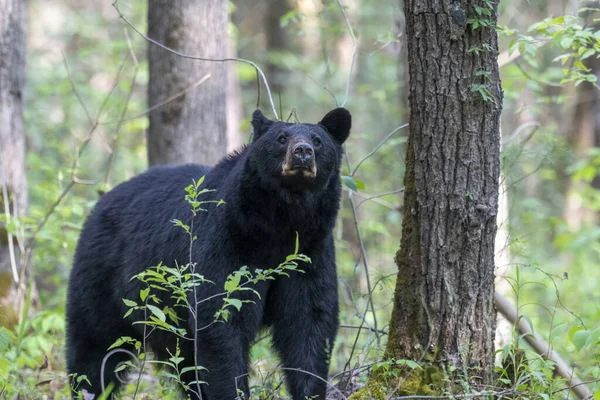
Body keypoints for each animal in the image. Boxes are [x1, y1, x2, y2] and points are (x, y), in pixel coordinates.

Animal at [67, 108, 352, 398]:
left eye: (318, 140)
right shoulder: (228, 242)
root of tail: (101, 201)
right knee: (95, 346)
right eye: (281, 138)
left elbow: (309, 322)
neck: (280, 224)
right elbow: (221, 318)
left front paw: (311, 390)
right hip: (103, 278)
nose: (302, 151)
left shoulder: (311, 251)